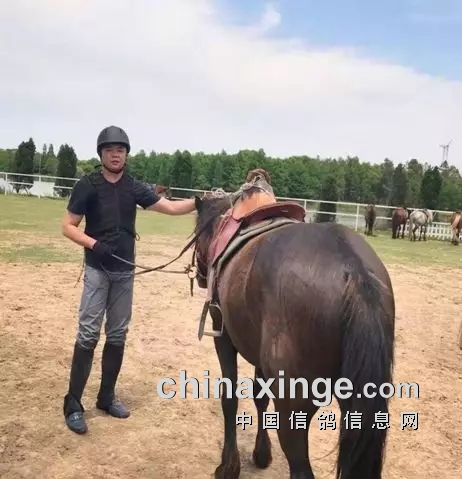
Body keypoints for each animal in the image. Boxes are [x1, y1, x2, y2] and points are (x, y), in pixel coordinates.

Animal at [192, 172, 395, 479]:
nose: (202, 276)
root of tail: (354, 270)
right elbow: (258, 396)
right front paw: (262, 454)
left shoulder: (223, 336)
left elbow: (230, 397)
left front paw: (228, 466)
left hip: (294, 407)